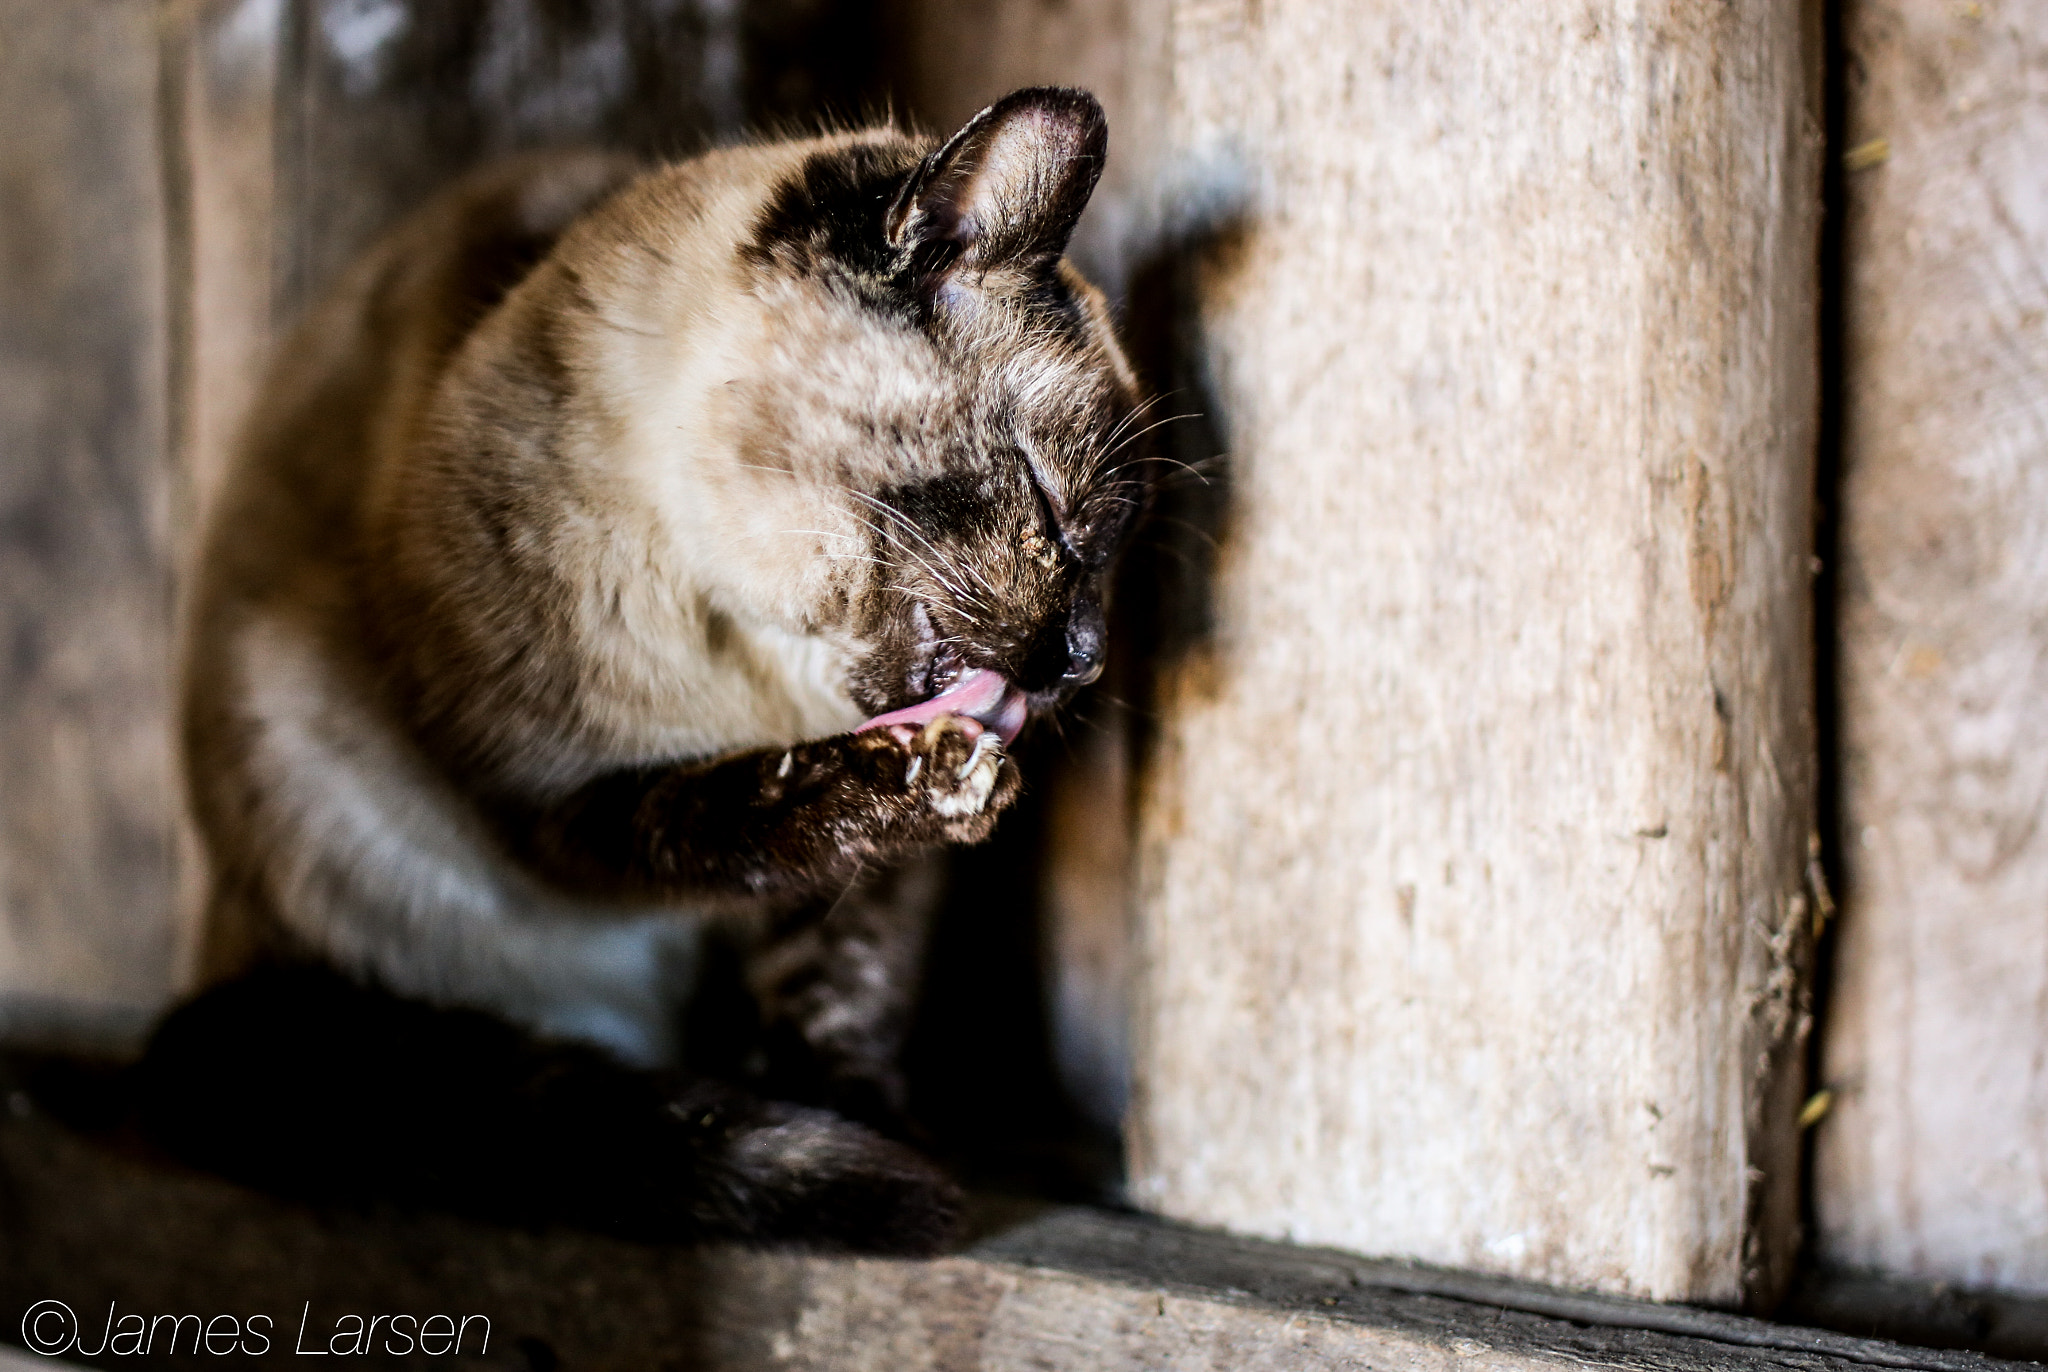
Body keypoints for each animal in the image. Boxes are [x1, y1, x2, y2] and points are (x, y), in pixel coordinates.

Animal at [136, 86, 1146, 1261]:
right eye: (1055, 514)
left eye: (1114, 556)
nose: (1084, 662)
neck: (752, 658)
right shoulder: (556, 804)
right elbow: (737, 818)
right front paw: (912, 784)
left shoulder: (862, 904)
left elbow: (840, 989)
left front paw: (870, 1124)